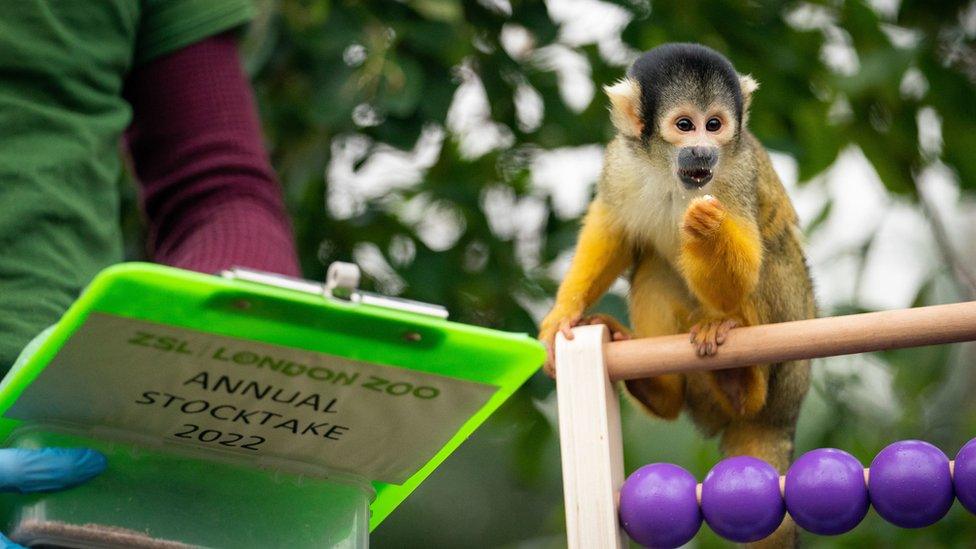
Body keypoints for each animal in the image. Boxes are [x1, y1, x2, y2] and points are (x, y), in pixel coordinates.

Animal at [540, 44, 816, 548]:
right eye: (685, 125)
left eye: (715, 124)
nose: (703, 150)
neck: (672, 173)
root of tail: (786, 415)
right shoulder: (621, 161)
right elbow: (612, 229)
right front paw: (562, 315)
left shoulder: (738, 172)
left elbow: (748, 264)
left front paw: (707, 228)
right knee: (653, 268)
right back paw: (661, 389)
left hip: (792, 334)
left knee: (772, 255)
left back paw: (741, 377)